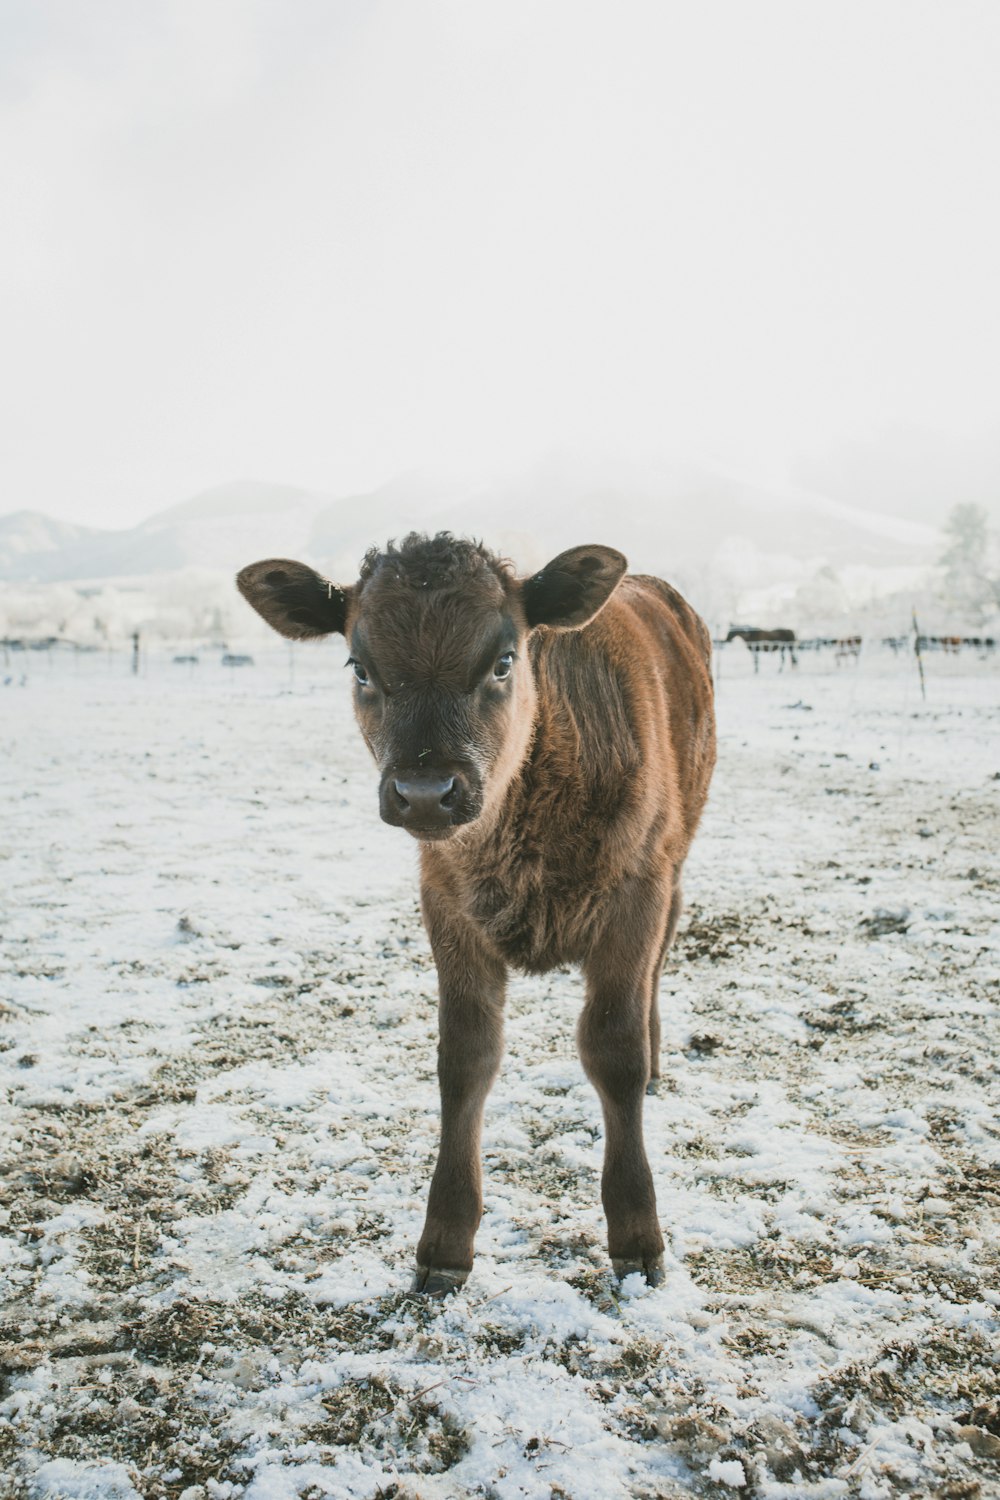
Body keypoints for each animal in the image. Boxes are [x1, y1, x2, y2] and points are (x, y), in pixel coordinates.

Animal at [238, 534, 716, 1296]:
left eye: (503, 660)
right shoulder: (447, 905)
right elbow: (465, 1059)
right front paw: (444, 1245)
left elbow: (613, 1049)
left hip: (676, 864)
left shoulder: (636, 890)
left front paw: (638, 1237)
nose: (425, 791)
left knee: (657, 972)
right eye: (360, 666)